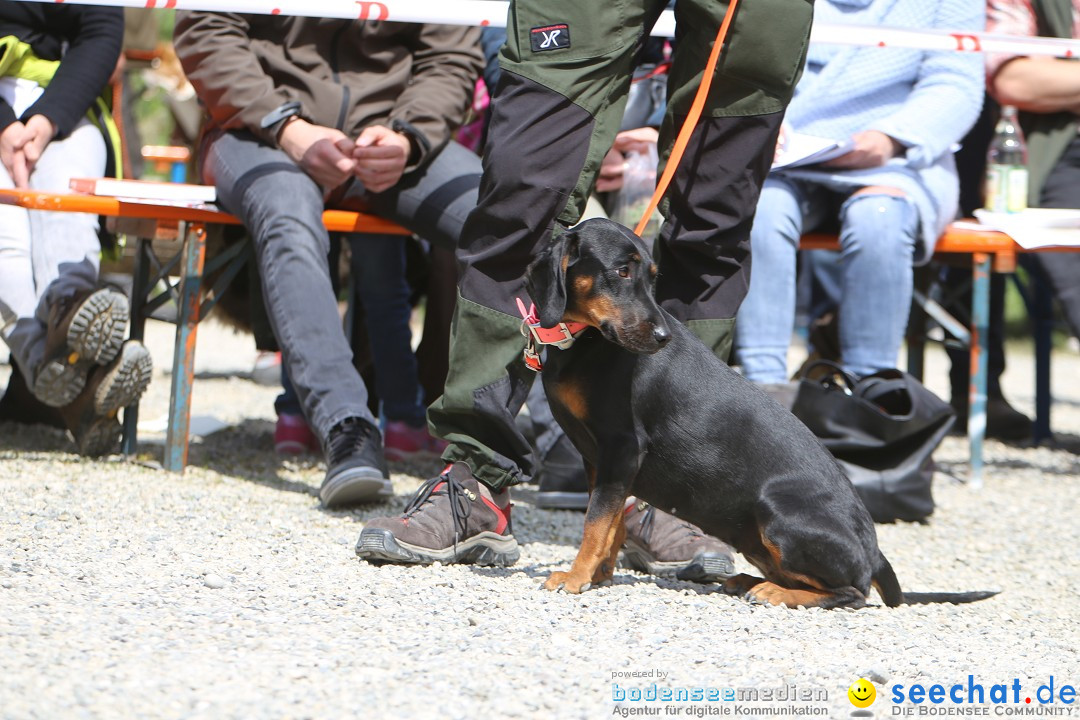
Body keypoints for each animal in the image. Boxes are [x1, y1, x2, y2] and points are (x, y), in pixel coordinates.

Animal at [522, 218, 993, 608]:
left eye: (652, 277)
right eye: (622, 271)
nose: (660, 336)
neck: (584, 341)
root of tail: (874, 554)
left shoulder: (621, 449)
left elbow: (595, 524)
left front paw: (576, 577)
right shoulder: (599, 458)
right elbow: (612, 524)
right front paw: (598, 576)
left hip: (776, 512)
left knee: (853, 593)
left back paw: (774, 592)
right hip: (755, 536)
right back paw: (749, 582)